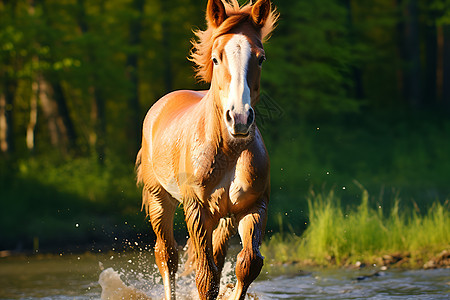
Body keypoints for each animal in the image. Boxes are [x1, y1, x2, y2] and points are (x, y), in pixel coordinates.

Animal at [135, 1, 278, 298]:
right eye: (215, 58)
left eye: (260, 58)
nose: (239, 118)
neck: (227, 150)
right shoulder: (197, 211)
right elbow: (205, 277)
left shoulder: (254, 207)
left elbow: (248, 264)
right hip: (159, 200)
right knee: (167, 256)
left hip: (223, 219)